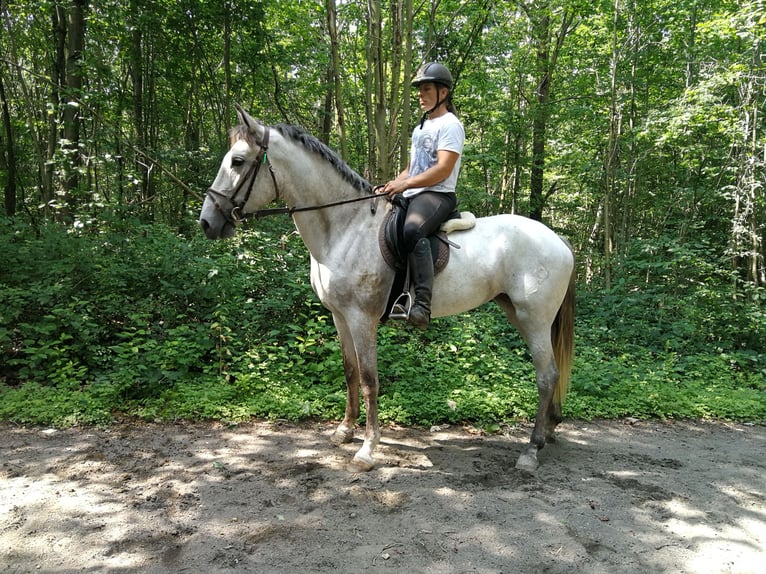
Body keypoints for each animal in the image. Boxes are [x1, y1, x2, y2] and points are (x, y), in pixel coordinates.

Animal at [200, 107, 576, 472]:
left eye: (237, 161)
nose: (207, 222)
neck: (345, 227)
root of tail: (557, 239)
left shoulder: (361, 318)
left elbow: (370, 380)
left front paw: (367, 449)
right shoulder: (339, 316)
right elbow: (350, 372)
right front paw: (344, 431)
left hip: (534, 319)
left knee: (546, 376)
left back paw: (531, 450)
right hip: (516, 311)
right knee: (551, 373)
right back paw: (549, 430)